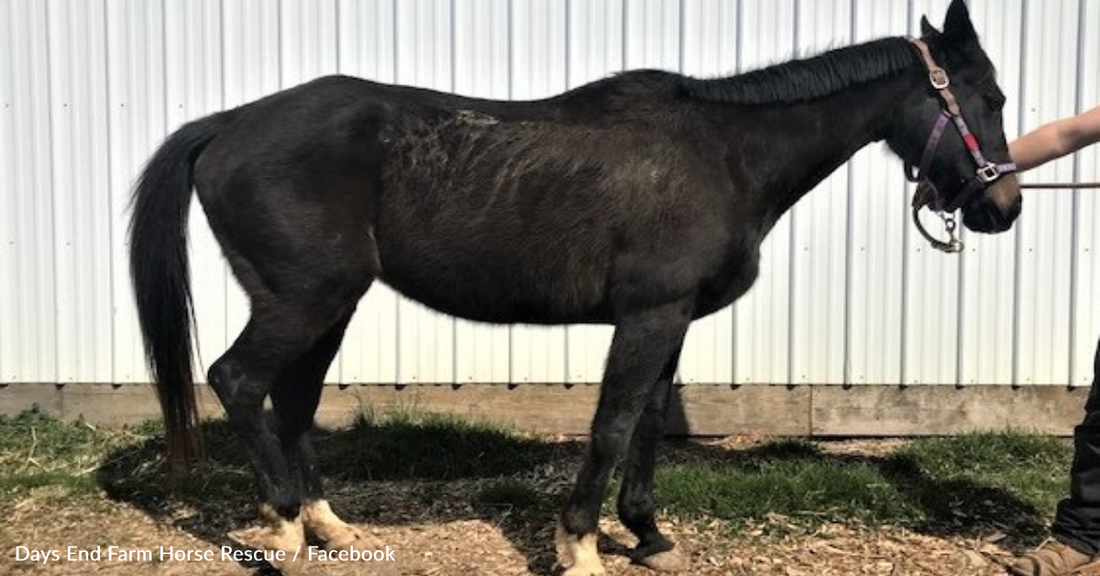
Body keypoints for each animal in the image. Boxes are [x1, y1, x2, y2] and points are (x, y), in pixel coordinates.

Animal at [128, 2, 1020, 571]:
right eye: (990, 96)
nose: (1003, 206)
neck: (725, 153)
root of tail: (227, 125)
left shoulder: (673, 319)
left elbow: (650, 422)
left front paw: (649, 535)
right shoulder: (649, 316)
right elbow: (613, 423)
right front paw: (580, 543)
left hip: (326, 304)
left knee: (294, 398)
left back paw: (327, 526)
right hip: (301, 299)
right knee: (238, 381)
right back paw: (281, 531)